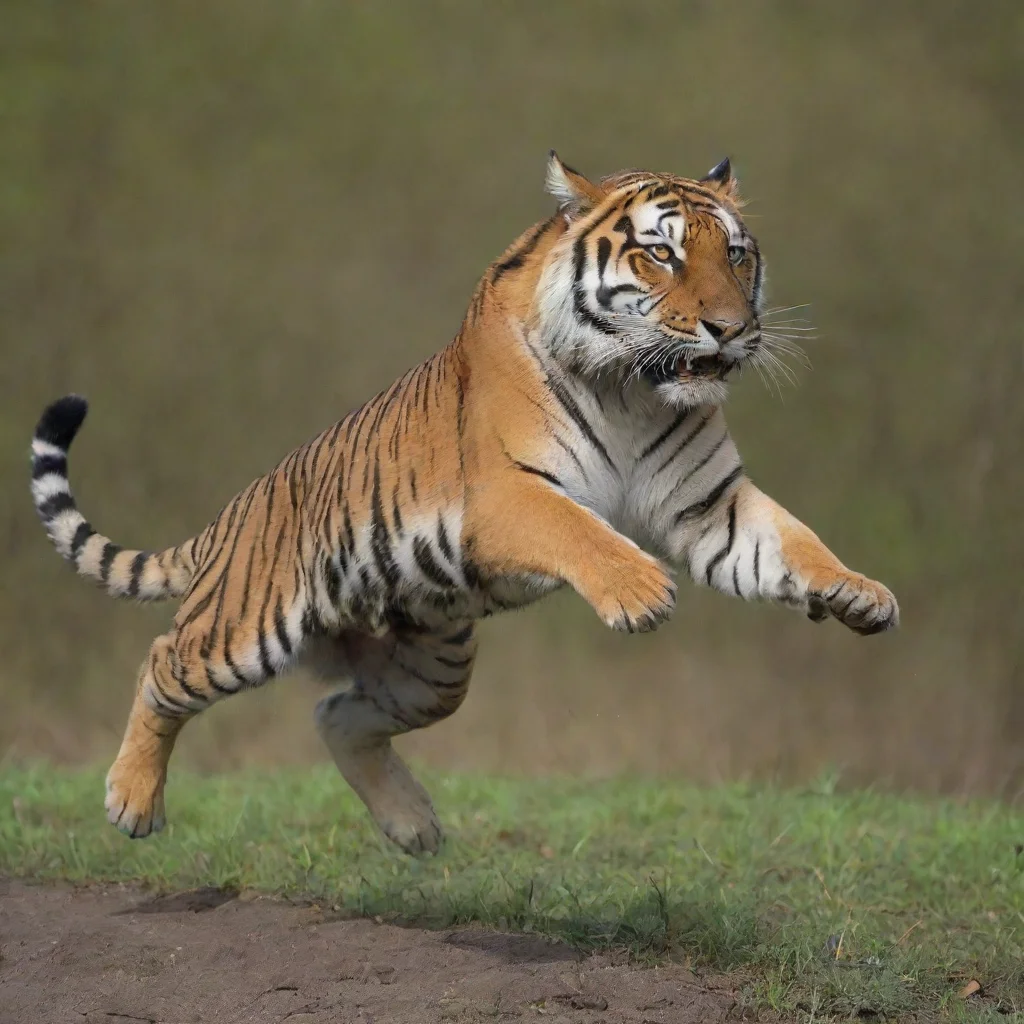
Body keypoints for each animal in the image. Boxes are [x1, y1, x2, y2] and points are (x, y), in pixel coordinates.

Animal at [28, 151, 901, 851]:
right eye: (661, 254)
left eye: (738, 255)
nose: (731, 328)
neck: (634, 388)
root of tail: (230, 518)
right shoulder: (507, 493)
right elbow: (581, 531)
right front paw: (639, 590)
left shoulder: (709, 506)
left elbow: (794, 541)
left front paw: (858, 592)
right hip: (246, 630)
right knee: (163, 663)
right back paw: (132, 804)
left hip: (430, 669)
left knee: (336, 715)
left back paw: (412, 826)